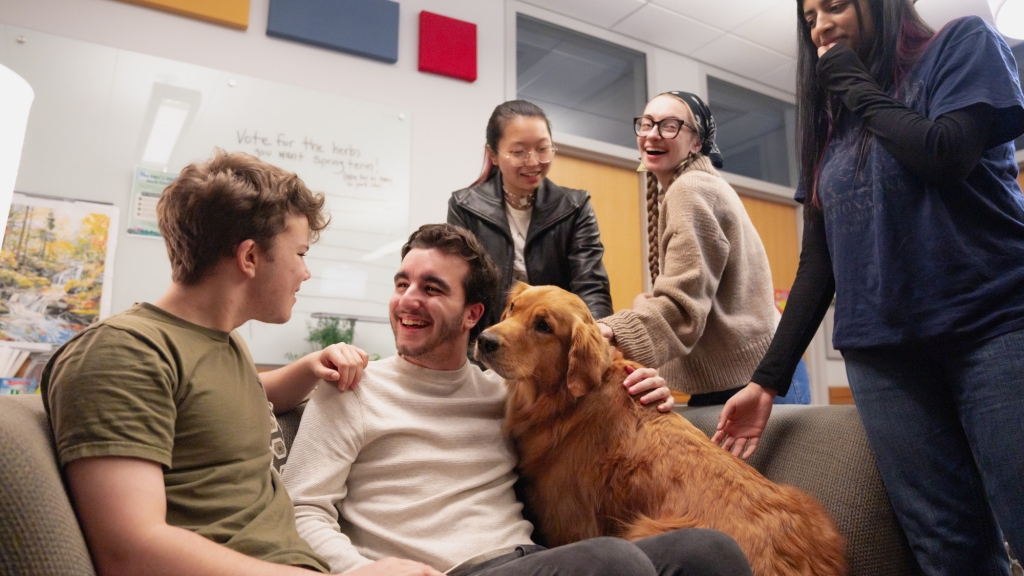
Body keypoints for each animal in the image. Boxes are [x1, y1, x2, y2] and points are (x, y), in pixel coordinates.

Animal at [475, 282, 843, 573]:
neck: (565, 399)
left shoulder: (566, 520)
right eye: (512, 308)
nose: (484, 340)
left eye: (543, 326)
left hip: (643, 531)